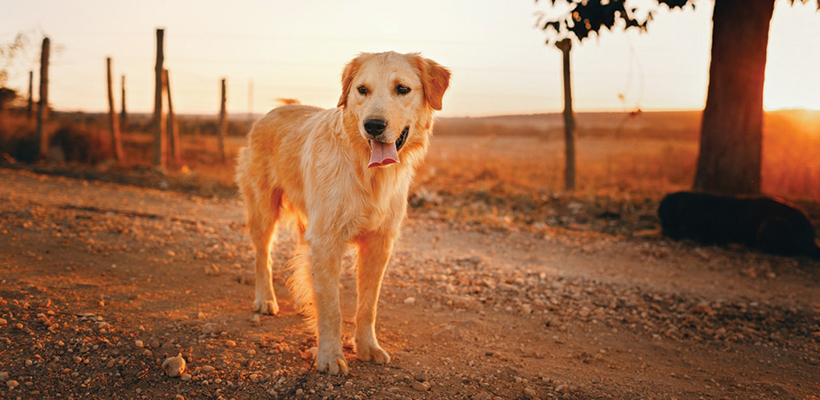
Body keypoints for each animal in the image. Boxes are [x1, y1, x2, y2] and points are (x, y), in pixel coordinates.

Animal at [234, 51, 452, 374]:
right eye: (362, 90)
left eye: (402, 89)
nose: (373, 125)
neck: (368, 172)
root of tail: (276, 110)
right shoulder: (327, 241)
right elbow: (331, 307)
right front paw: (329, 355)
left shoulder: (378, 245)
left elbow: (367, 306)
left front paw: (367, 347)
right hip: (263, 210)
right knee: (263, 256)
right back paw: (265, 299)